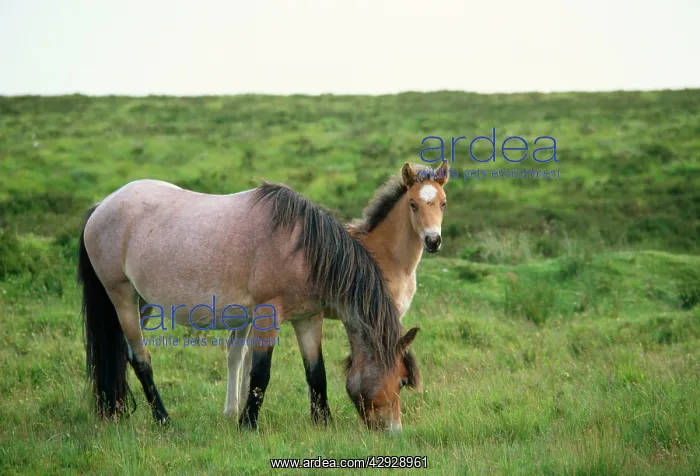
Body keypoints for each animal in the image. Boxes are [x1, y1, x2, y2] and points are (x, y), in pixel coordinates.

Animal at [77, 176, 421, 431]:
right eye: (402, 381)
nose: (393, 430)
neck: (302, 249)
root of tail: (100, 207)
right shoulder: (268, 315)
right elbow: (260, 373)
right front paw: (247, 423)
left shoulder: (308, 318)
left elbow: (316, 371)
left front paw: (323, 422)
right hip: (121, 296)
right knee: (140, 358)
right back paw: (163, 419)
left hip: (143, 302)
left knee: (123, 355)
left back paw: (116, 409)